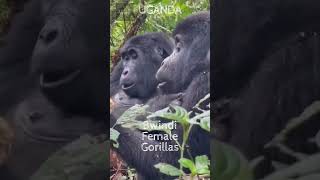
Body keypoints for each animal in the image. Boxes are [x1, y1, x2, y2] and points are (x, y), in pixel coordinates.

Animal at [114, 11, 211, 179]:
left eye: (134, 56)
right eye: (125, 58)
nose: (165, 61)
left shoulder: (203, 85)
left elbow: (172, 160)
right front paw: (158, 106)